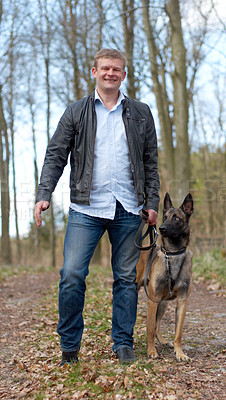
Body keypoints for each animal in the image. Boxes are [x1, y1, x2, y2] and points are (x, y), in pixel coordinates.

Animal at [137, 192, 193, 360]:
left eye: (176, 218)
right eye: (165, 217)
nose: (161, 228)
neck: (173, 254)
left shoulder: (182, 300)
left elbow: (178, 333)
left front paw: (179, 352)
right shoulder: (152, 299)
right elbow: (149, 328)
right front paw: (151, 351)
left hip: (163, 303)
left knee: (156, 325)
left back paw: (162, 340)